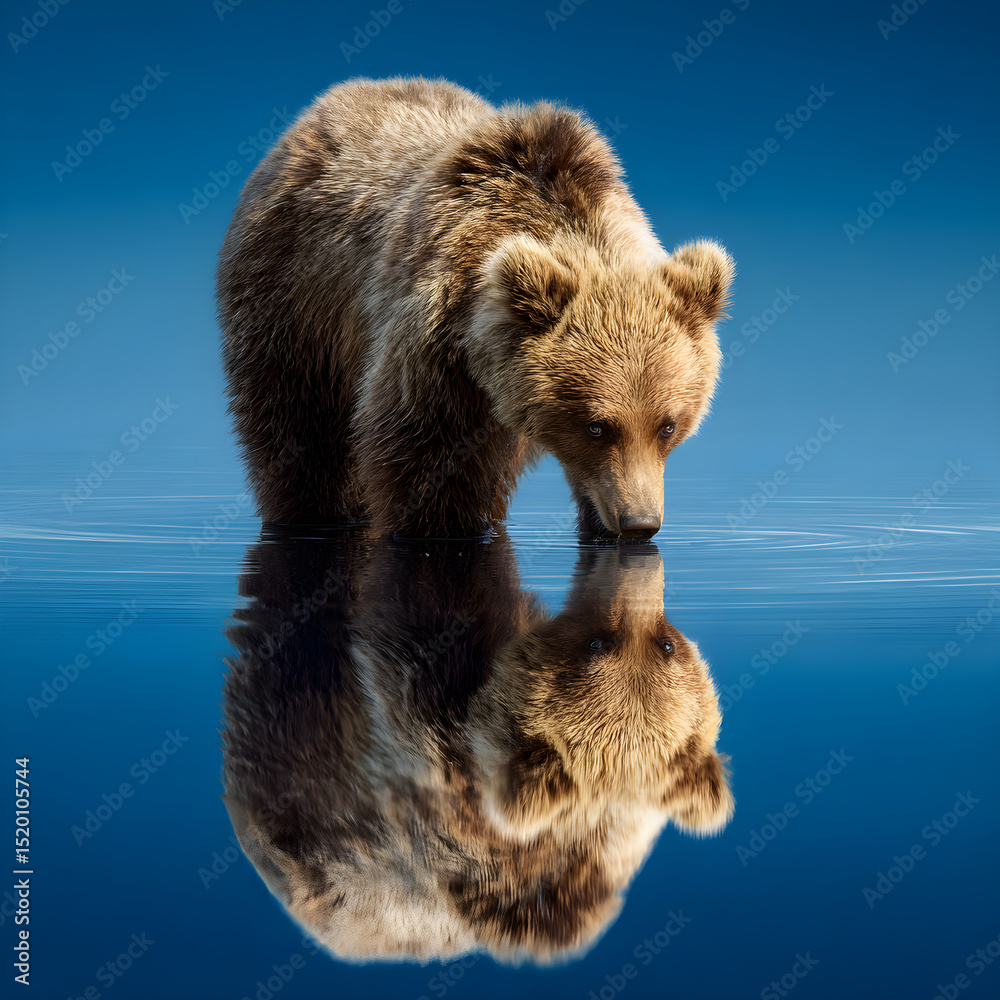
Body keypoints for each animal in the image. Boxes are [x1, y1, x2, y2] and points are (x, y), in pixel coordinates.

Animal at [217, 76, 735, 538]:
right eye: (597, 427)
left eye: (667, 426)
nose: (639, 523)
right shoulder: (434, 346)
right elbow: (425, 457)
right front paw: (445, 527)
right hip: (295, 297)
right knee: (298, 426)